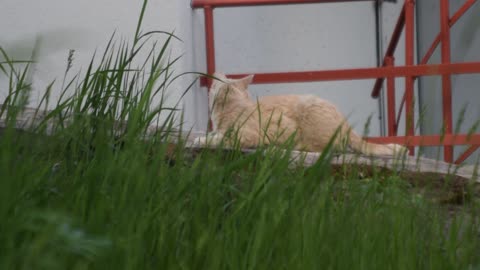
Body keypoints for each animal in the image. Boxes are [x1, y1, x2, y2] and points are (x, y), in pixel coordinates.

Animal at [193, 73, 406, 156]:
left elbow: (221, 138)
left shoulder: (248, 135)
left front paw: (202, 140)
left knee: (324, 148)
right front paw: (207, 136)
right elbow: (215, 134)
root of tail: (345, 123)